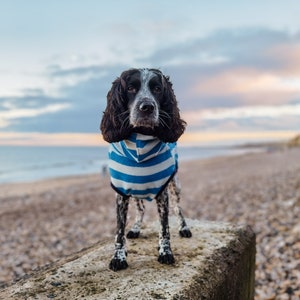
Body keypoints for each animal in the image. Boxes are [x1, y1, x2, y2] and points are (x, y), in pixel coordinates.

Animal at [99, 68, 191, 272]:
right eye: (131, 88)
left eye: (157, 88)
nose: (147, 107)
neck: (140, 141)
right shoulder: (121, 192)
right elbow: (119, 231)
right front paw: (119, 257)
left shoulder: (163, 192)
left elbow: (164, 227)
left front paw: (165, 251)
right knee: (140, 210)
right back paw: (135, 228)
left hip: (175, 185)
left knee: (178, 207)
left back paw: (184, 228)